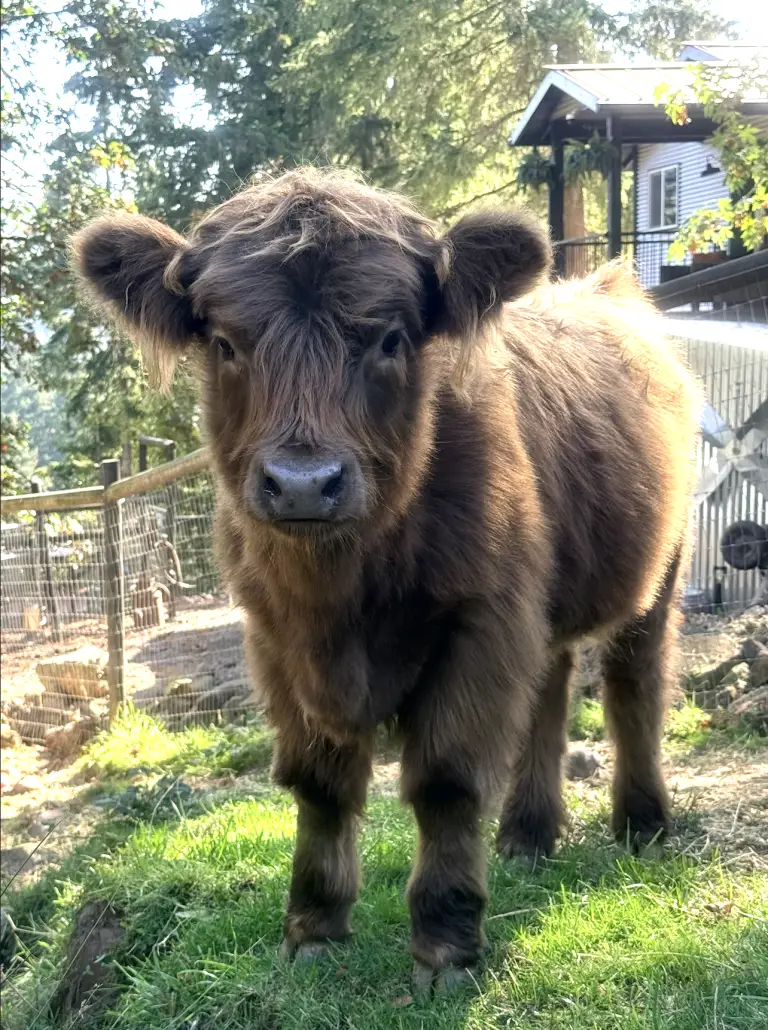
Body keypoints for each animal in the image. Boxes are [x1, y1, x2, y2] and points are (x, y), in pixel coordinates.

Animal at [72, 168, 701, 995]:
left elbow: (446, 782)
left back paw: (641, 823)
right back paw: (527, 836)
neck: (341, 596)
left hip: (660, 569)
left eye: (391, 338)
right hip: (544, 602)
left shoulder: (479, 621)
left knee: (636, 685)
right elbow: (318, 784)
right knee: (551, 690)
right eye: (225, 342)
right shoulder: (275, 642)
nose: (303, 485)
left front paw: (445, 948)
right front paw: (313, 929)